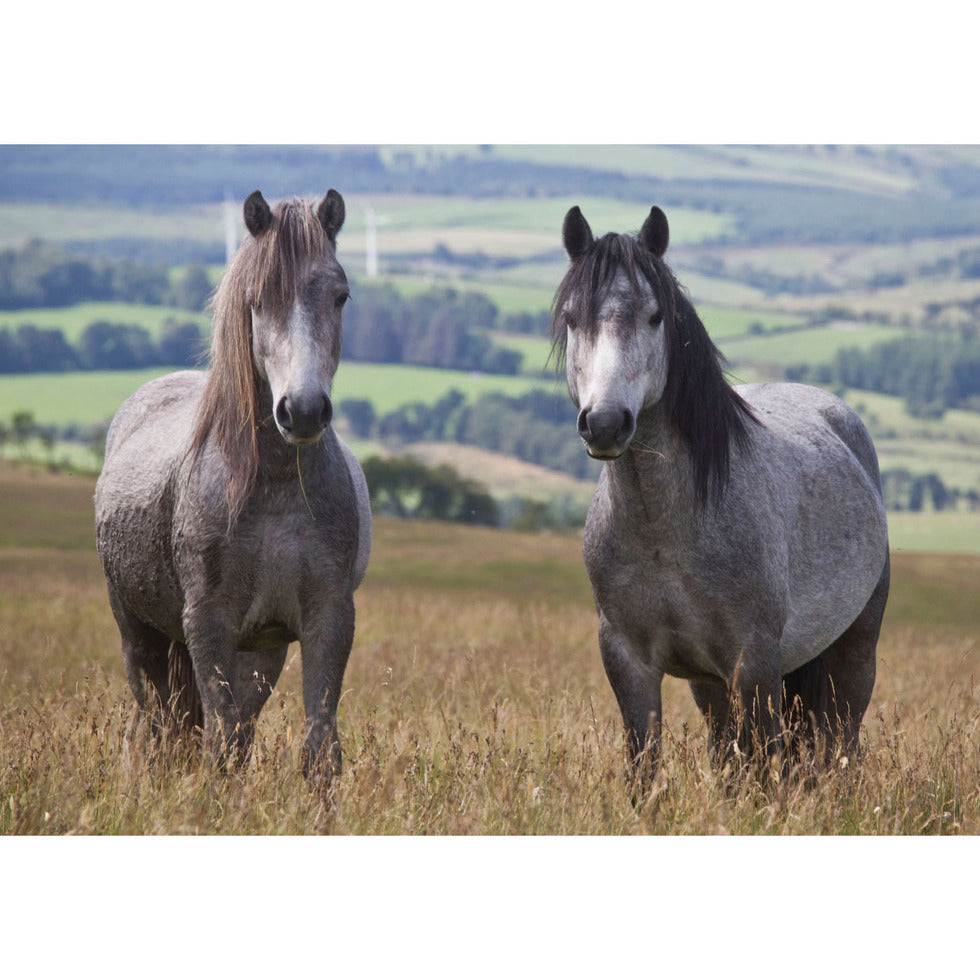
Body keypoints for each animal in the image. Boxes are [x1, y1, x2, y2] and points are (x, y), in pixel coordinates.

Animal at [95, 189, 372, 788]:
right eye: (257, 299)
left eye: (340, 297)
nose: (304, 411)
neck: (275, 489)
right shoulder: (207, 624)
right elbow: (216, 746)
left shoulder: (327, 619)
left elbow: (319, 748)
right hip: (140, 635)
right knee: (155, 726)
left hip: (260, 651)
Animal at [552, 207, 888, 788]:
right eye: (573, 319)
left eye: (655, 317)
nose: (605, 423)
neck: (663, 528)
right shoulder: (629, 660)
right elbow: (645, 766)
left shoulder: (753, 664)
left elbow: (766, 766)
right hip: (709, 684)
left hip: (854, 652)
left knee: (839, 743)